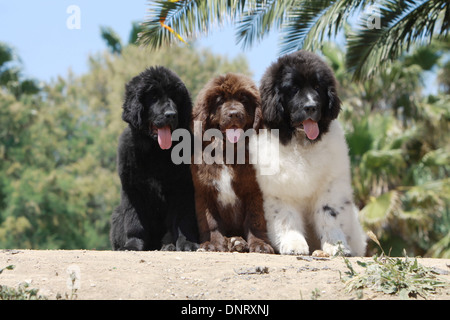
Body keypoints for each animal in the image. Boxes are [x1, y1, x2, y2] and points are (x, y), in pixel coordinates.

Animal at [109, 66, 199, 251]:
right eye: (154, 97)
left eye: (175, 97)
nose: (171, 114)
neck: (156, 153)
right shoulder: (133, 189)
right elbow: (135, 221)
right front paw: (132, 245)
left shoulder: (183, 188)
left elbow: (182, 221)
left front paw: (186, 243)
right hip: (117, 214)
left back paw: (168, 246)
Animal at [191, 72, 272, 252]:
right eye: (220, 101)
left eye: (244, 100)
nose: (234, 113)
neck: (228, 152)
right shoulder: (205, 191)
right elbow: (211, 222)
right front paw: (212, 244)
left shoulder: (255, 191)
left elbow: (255, 219)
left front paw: (260, 245)